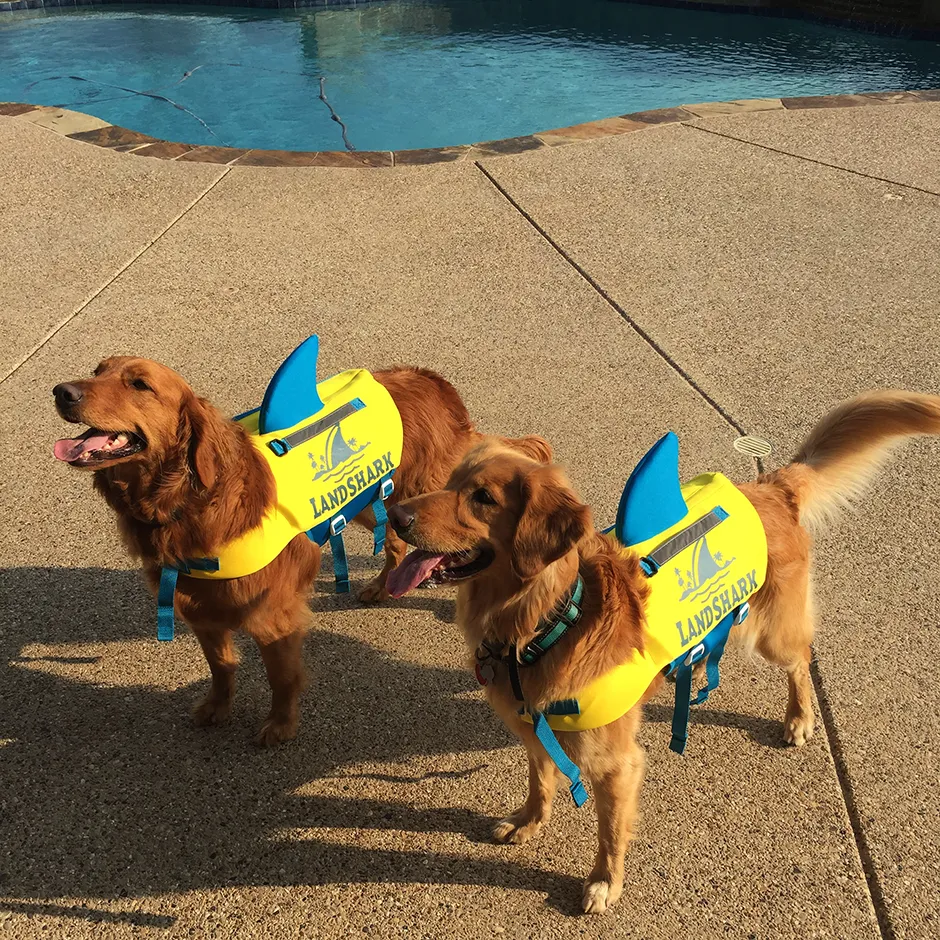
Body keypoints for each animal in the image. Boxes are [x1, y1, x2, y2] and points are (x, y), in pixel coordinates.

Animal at [51, 356, 552, 744]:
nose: (61, 391)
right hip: (370, 501)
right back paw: (382, 586)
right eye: (97, 370)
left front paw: (280, 726)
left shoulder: (273, 617)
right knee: (394, 539)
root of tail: (434, 382)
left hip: (425, 498)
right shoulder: (200, 607)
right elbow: (221, 665)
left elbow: (281, 677)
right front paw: (217, 707)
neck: (189, 505)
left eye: (139, 384)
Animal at [386, 390, 940, 912]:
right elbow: (540, 784)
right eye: (450, 481)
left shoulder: (616, 764)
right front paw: (528, 822)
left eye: (482, 497)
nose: (394, 513)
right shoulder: (534, 729)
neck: (548, 620)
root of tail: (769, 487)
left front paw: (604, 883)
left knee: (802, 662)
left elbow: (610, 832)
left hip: (772, 636)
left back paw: (800, 716)